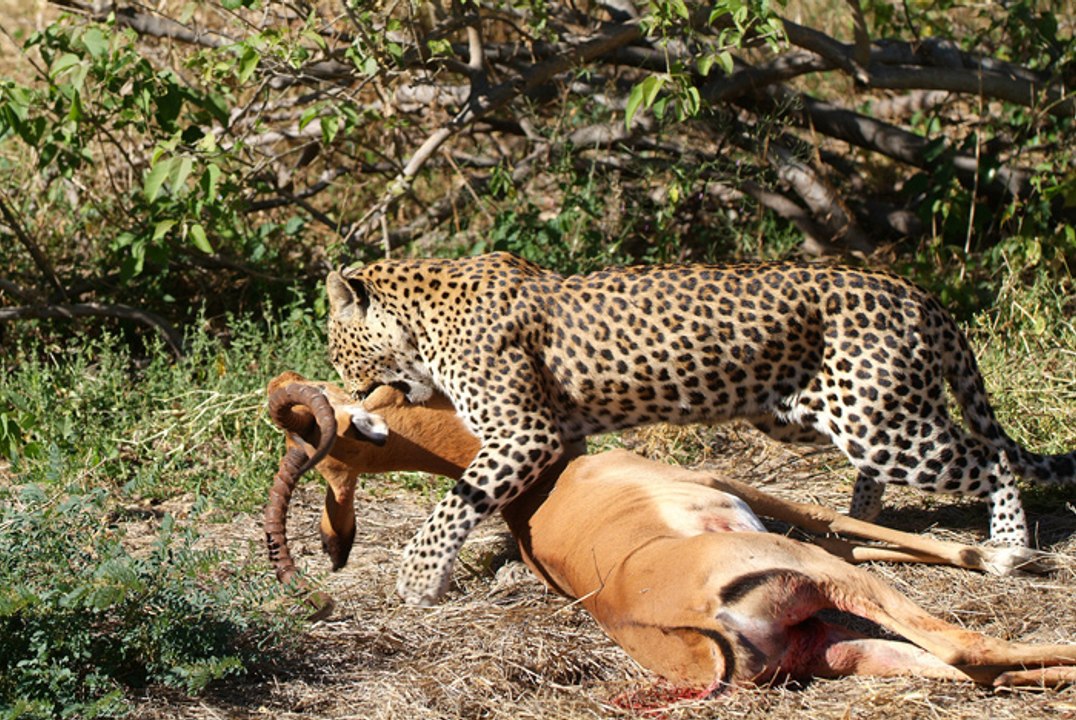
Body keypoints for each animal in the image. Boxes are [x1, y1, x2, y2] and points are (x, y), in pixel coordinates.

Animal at [264, 371, 1075, 693]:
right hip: (832, 590)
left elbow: (860, 527)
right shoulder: (738, 489)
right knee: (971, 650)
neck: (550, 483)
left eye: (334, 456)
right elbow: (845, 520)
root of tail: (691, 627)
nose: (335, 543)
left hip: (840, 646)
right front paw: (1012, 556)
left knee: (978, 671)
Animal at [325, 251, 1076, 605]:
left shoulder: (524, 432)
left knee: (990, 458)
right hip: (820, 416)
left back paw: (1010, 544)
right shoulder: (559, 438)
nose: (349, 393)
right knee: (921, 460)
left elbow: (456, 503)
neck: (420, 321)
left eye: (339, 349)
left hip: (884, 426)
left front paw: (418, 580)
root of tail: (917, 292)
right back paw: (859, 522)